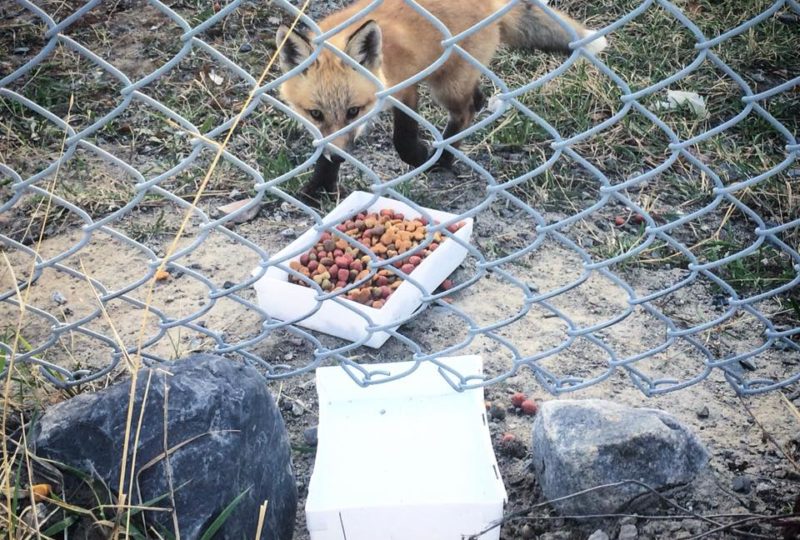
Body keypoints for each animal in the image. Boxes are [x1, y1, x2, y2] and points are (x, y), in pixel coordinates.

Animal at [276, 0, 608, 200]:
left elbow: (403, 139)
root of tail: (493, 5)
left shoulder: (405, 89)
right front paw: (320, 187)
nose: (339, 157)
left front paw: (421, 156)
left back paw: (443, 159)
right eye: (315, 114)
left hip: (446, 84)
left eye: (353, 110)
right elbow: (323, 150)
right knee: (476, 99)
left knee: (465, 112)